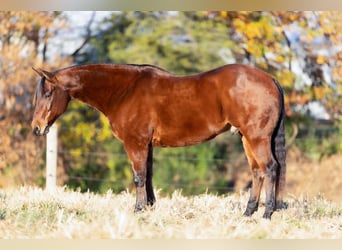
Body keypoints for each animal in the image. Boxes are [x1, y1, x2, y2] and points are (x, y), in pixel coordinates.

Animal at [30, 64, 286, 219]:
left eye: (48, 94)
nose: (37, 128)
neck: (125, 91)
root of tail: (270, 79)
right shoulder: (147, 145)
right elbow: (149, 176)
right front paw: (150, 208)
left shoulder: (135, 143)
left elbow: (139, 177)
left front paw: (138, 210)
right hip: (247, 138)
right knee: (257, 171)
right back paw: (248, 213)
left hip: (256, 137)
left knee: (270, 168)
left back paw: (267, 214)